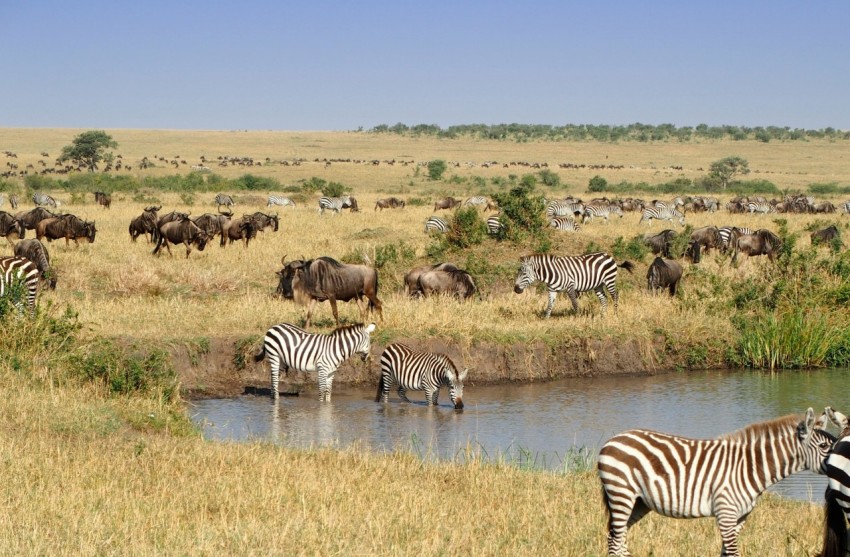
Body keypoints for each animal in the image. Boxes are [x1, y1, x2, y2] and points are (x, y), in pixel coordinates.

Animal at [598, 408, 834, 557]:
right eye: (824, 446)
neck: (749, 466)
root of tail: (614, 439)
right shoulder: (726, 513)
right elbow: (733, 553)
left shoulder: (740, 517)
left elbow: (726, 553)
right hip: (621, 495)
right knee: (615, 541)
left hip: (639, 502)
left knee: (617, 538)